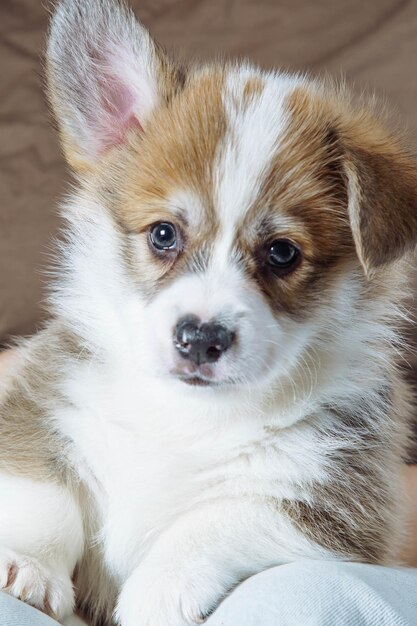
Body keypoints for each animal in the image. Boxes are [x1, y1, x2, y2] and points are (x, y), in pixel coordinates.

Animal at [0, 0, 416, 620]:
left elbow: (217, 522)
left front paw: (158, 592)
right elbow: (44, 499)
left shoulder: (333, 501)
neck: (185, 416)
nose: (199, 338)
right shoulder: (41, 410)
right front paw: (25, 564)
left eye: (282, 253)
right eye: (163, 234)